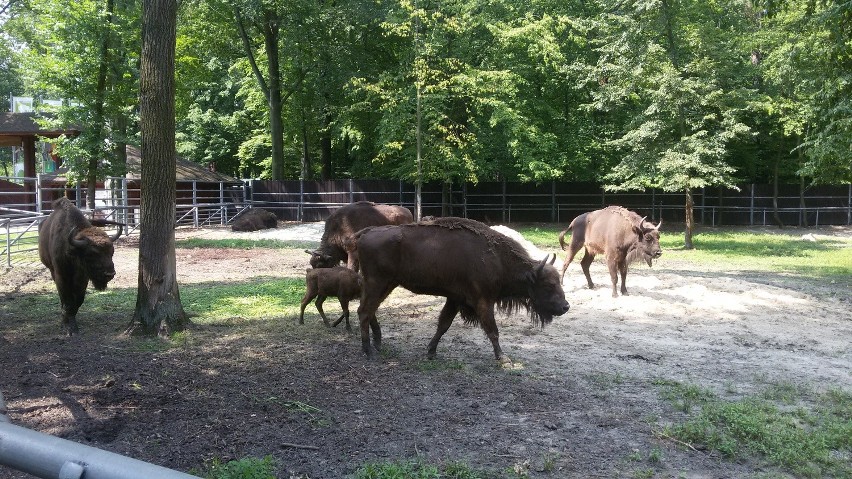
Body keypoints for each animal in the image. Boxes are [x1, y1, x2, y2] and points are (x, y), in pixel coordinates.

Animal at [37, 197, 123, 336]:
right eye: (91, 254)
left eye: (112, 252)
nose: (110, 274)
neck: (73, 250)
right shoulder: (61, 275)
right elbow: (67, 300)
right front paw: (69, 327)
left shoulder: (82, 277)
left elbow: (78, 300)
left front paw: (71, 322)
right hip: (52, 270)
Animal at [350, 216, 568, 362]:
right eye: (548, 284)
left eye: (558, 281)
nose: (565, 306)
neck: (497, 260)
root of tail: (366, 233)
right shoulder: (483, 301)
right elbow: (492, 330)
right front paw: (503, 359)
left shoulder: (455, 300)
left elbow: (443, 325)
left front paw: (431, 351)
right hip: (377, 282)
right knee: (364, 311)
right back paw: (368, 351)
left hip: (386, 284)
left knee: (369, 310)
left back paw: (378, 344)